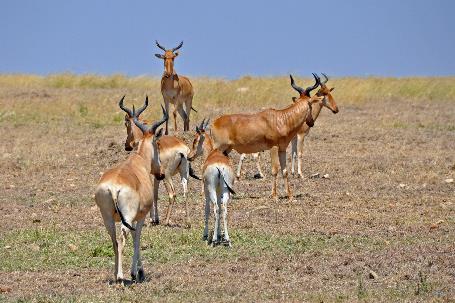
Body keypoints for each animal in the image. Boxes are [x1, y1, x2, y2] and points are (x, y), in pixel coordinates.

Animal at [95, 99, 168, 284]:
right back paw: (121, 277)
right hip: (126, 217)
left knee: (114, 241)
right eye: (157, 145)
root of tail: (114, 187)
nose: (161, 173)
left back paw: (116, 274)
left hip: (107, 218)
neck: (138, 161)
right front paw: (137, 272)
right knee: (122, 239)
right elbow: (137, 239)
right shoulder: (140, 217)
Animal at [119, 96, 200, 227]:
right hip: (183, 173)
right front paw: (155, 219)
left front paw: (153, 219)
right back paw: (188, 222)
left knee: (172, 194)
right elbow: (155, 194)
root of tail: (182, 149)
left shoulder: (153, 174)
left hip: (166, 175)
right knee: (185, 192)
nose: (127, 146)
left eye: (126, 123)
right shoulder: (157, 176)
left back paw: (167, 221)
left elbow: (153, 193)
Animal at [187, 119, 235, 247]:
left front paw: (206, 235)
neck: (213, 154)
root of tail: (220, 166)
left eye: (195, 139)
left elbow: (207, 210)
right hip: (225, 190)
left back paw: (213, 240)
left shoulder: (206, 191)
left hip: (211, 189)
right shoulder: (219, 191)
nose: (189, 157)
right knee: (224, 208)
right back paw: (227, 240)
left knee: (216, 208)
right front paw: (218, 234)